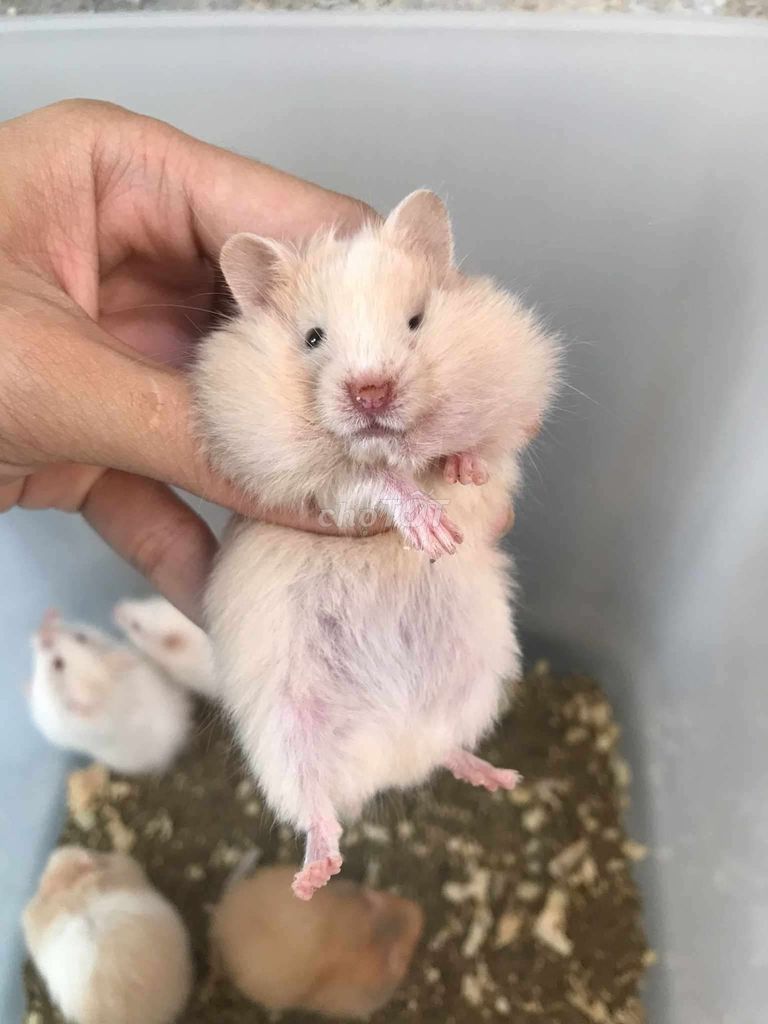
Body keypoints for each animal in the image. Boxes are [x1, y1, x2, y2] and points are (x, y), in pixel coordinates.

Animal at [194, 190, 559, 898]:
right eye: (312, 338)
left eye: (416, 321)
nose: (370, 392)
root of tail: (394, 755)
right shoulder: (317, 484)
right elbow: (375, 481)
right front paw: (433, 531)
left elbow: (483, 450)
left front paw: (461, 474)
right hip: (285, 728)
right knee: (315, 806)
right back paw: (314, 877)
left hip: (478, 676)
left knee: (449, 745)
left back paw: (499, 777)